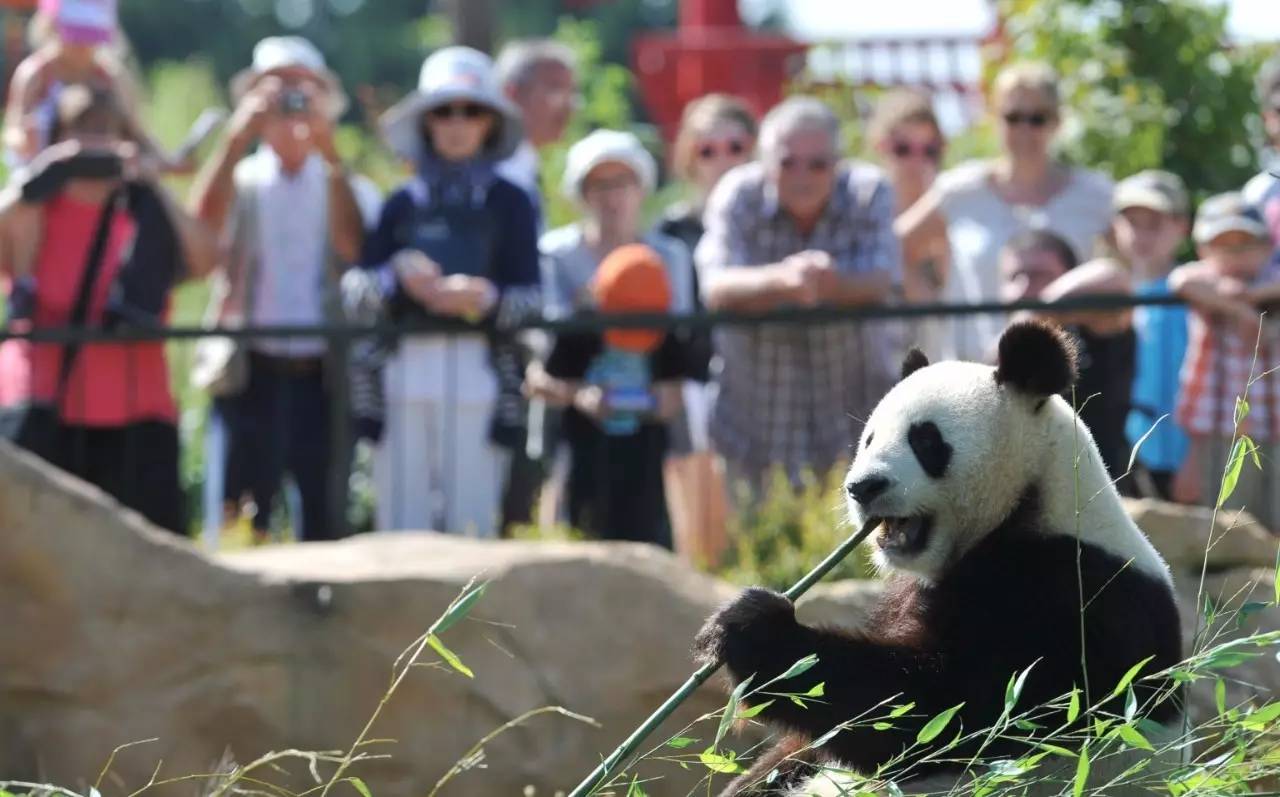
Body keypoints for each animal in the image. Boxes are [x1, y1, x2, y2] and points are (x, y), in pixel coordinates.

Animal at [696, 321, 1182, 793]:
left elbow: (937, 711)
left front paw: (751, 628)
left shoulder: (1065, 597)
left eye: (926, 441)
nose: (862, 487)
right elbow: (805, 749)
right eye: (869, 438)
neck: (1033, 498)